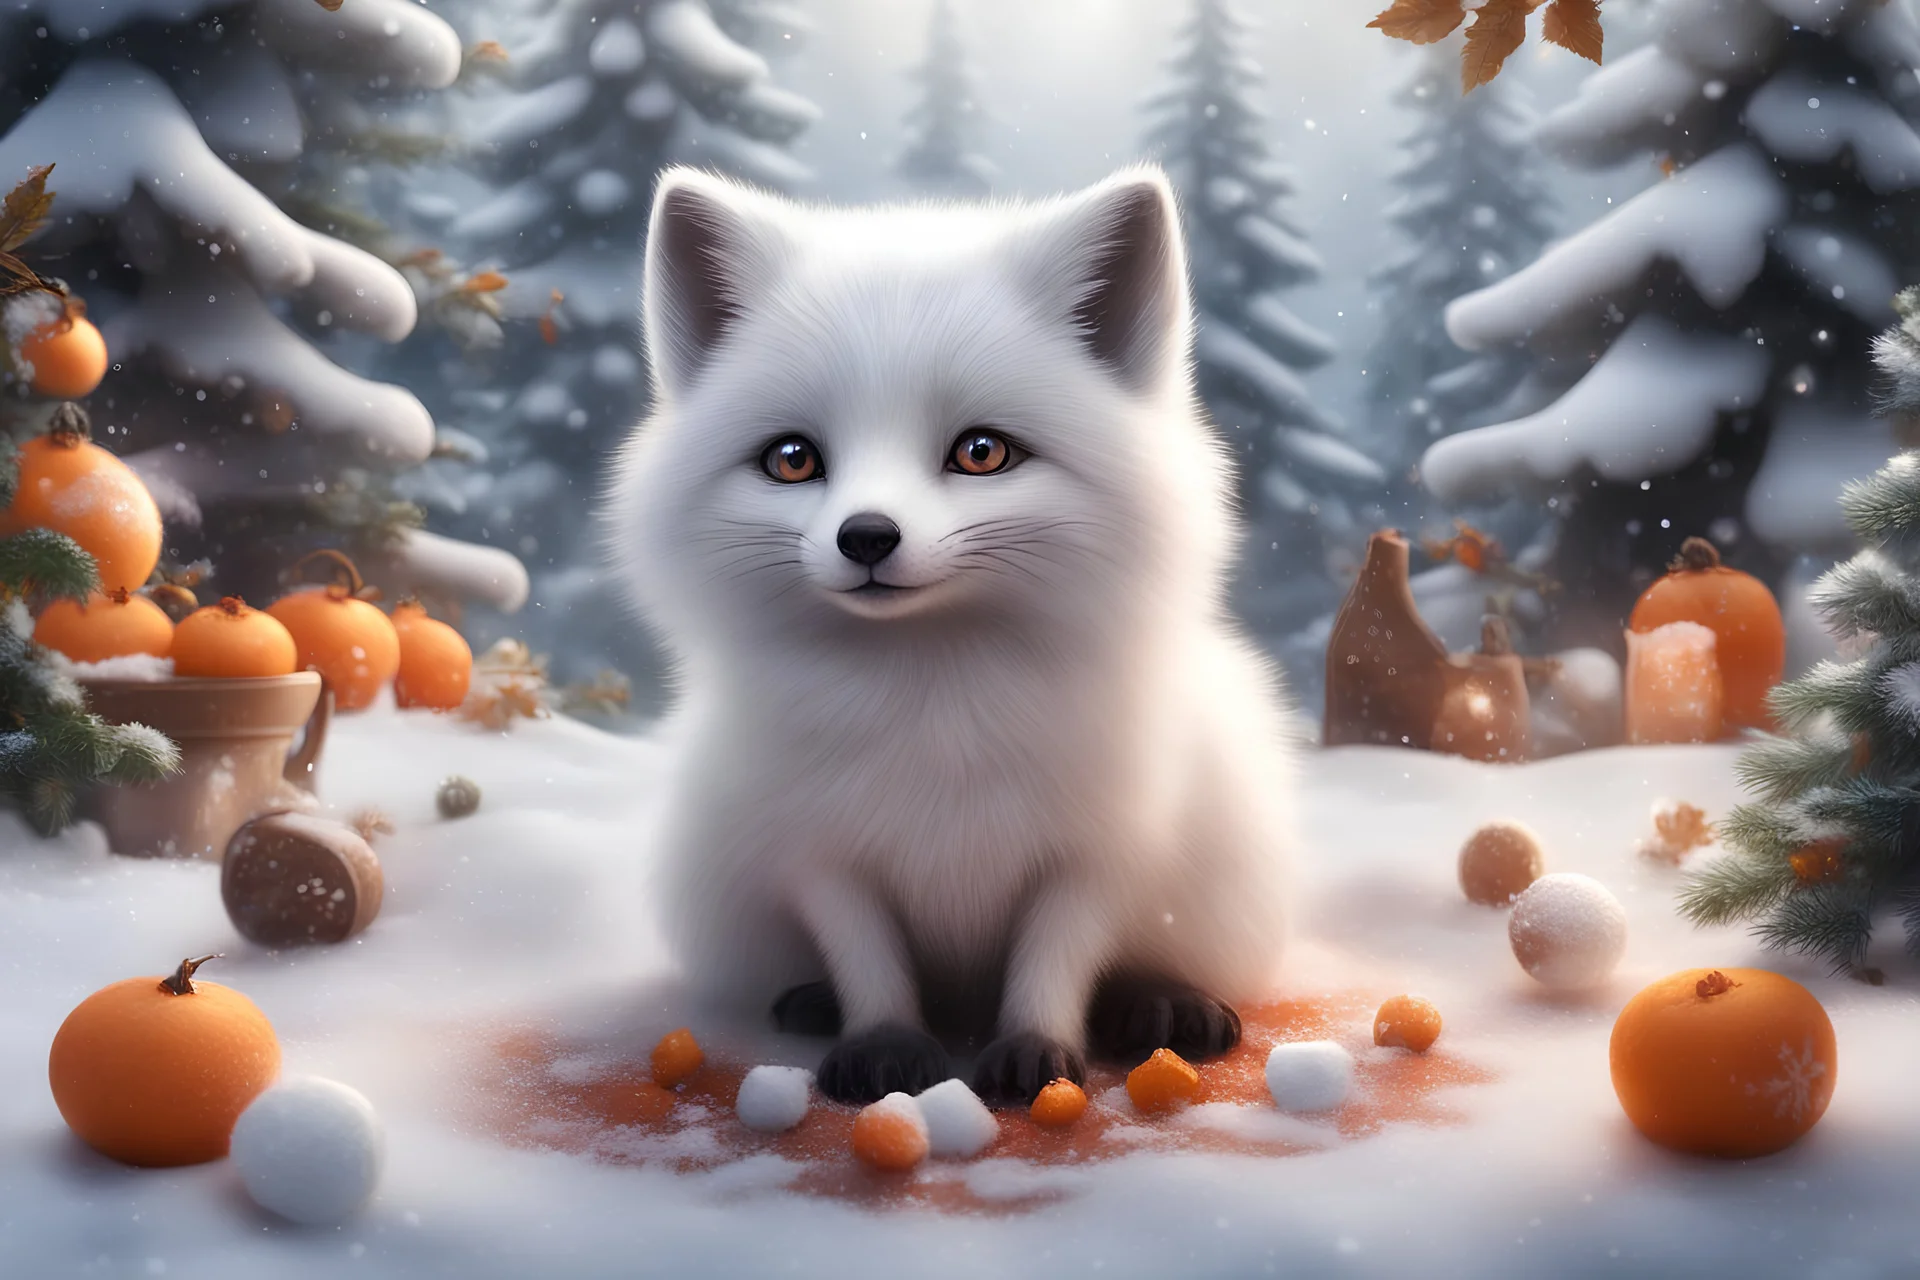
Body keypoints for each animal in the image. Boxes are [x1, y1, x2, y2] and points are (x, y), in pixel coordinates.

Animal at [606, 164, 1299, 1107]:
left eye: (981, 452)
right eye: (792, 459)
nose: (865, 536)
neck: (933, 699)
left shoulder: (1097, 852)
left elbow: (1056, 959)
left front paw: (1038, 1053)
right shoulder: (820, 856)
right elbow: (869, 960)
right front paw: (881, 1043)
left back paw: (1162, 1003)